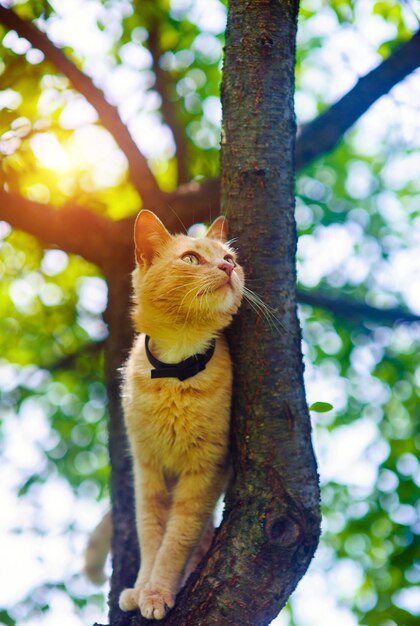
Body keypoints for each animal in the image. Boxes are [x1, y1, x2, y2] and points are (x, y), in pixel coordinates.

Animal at [116, 211, 244, 620]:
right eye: (191, 258)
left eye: (230, 258)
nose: (227, 267)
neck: (175, 369)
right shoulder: (148, 471)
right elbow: (150, 535)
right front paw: (141, 588)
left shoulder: (205, 471)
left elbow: (176, 540)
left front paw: (157, 592)